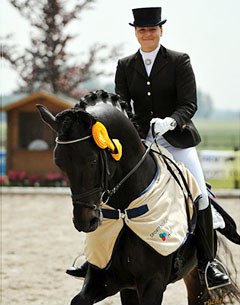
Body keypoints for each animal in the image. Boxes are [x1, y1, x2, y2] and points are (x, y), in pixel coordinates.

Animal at [36, 89, 239, 304]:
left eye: (92, 161)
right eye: (59, 162)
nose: (85, 222)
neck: (124, 209)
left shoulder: (153, 282)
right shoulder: (105, 276)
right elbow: (79, 299)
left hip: (196, 279)